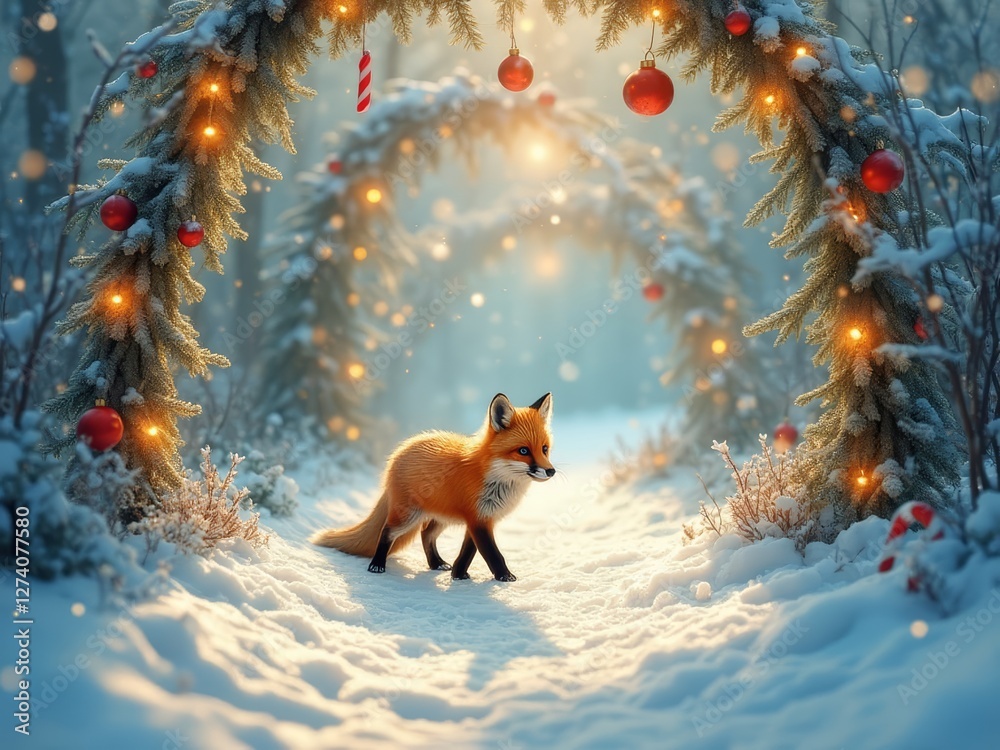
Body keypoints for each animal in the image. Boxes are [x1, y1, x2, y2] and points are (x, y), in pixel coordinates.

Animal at [311, 392, 555, 582]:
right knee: (387, 531)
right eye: (523, 451)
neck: (495, 478)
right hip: (408, 516)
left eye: (544, 449)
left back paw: (436, 563)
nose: (551, 471)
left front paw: (458, 575)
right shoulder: (477, 519)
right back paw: (377, 565)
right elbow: (492, 553)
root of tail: (399, 453)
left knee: (426, 534)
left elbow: (468, 552)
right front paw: (505, 577)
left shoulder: (480, 518)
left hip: (440, 516)